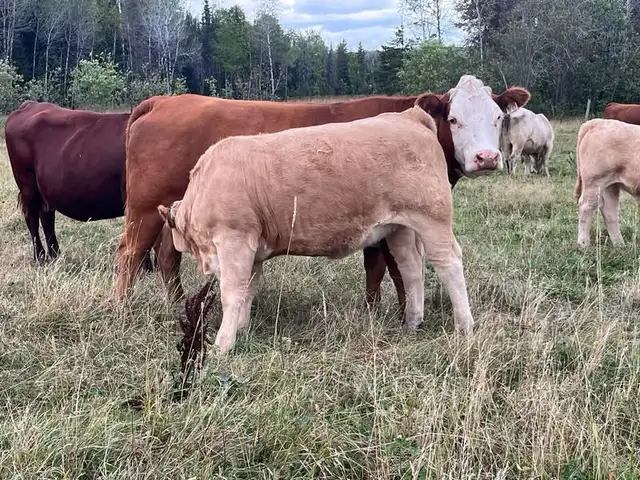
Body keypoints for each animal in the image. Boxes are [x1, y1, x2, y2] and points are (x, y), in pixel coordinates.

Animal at [4, 101, 155, 269]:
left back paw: (55, 255)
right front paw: (146, 267)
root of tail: (30, 104)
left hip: (44, 190)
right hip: (27, 186)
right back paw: (40, 257)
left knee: (47, 218)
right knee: (32, 219)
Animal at [115, 75, 530, 316]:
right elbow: (389, 267)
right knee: (130, 255)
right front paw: (390, 311)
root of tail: (163, 101)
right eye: (454, 119)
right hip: (143, 210)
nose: (486, 157)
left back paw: (176, 307)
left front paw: (379, 310)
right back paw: (122, 309)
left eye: (498, 117)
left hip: (170, 213)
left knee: (166, 257)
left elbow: (382, 267)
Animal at [157, 107, 477, 355]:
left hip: (432, 219)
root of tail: (408, 117)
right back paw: (412, 322)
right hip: (400, 227)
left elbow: (232, 292)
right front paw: (242, 328)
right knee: (411, 267)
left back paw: (464, 326)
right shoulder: (253, 251)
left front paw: (223, 344)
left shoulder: (234, 240)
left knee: (448, 262)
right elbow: (248, 290)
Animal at [575, 118, 640, 248]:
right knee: (586, 207)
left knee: (609, 211)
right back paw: (583, 244)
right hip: (594, 181)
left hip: (610, 184)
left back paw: (619, 245)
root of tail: (599, 122)